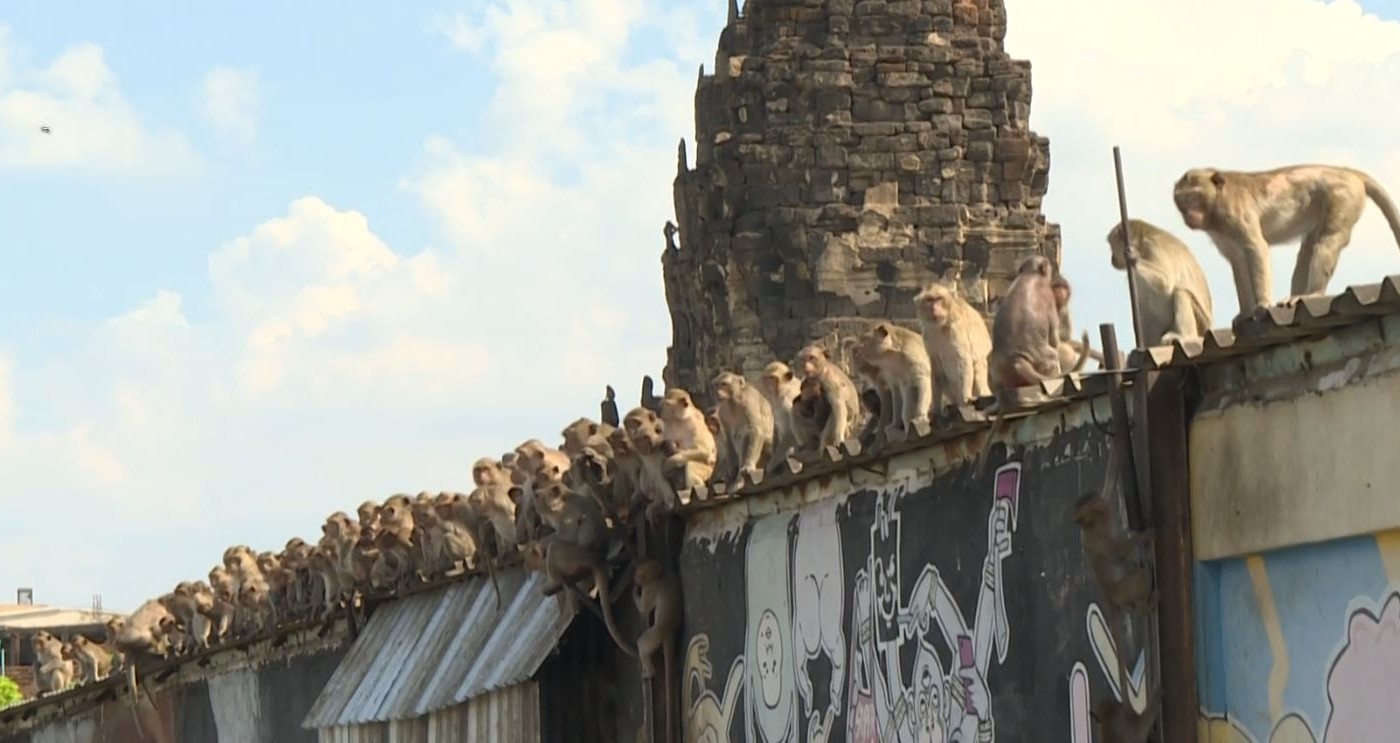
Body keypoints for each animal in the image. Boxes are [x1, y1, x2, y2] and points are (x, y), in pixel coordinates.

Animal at [634, 560, 682, 743]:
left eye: (639, 572)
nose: (634, 577)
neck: (659, 574)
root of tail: (670, 631)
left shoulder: (650, 588)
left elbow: (644, 608)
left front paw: (635, 592)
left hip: (655, 635)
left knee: (642, 643)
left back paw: (649, 672)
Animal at [914, 280, 993, 410]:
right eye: (930, 300)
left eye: (939, 299)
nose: (934, 308)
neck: (941, 326)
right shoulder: (927, 332)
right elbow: (936, 366)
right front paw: (936, 408)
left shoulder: (956, 329)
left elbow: (963, 362)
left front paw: (965, 399)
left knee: (977, 368)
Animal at [1172, 164, 1400, 321]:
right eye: (1181, 200)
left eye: (1194, 196)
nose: (1188, 215)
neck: (1216, 206)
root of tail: (1347, 171)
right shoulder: (1220, 232)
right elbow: (1237, 260)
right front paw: (1245, 312)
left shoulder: (1235, 214)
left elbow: (1256, 250)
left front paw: (1262, 305)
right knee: (1309, 246)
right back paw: (1298, 294)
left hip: (1343, 198)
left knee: (1328, 240)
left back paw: (1313, 294)